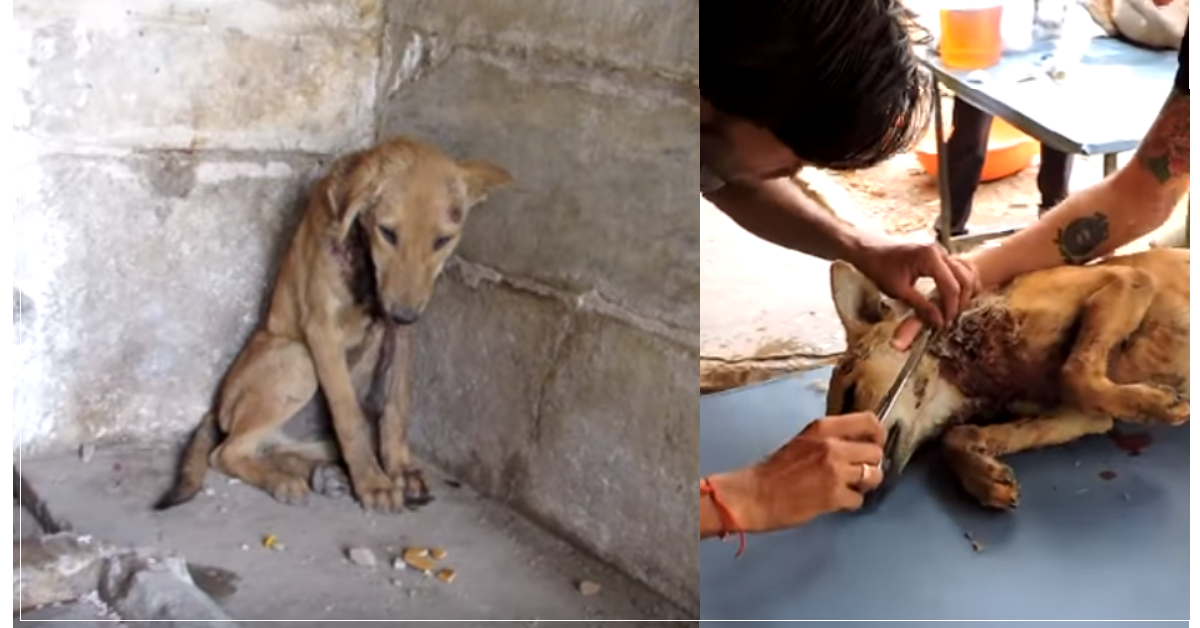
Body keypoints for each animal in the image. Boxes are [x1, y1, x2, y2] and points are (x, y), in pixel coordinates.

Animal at [153, 135, 511, 513]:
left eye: (443, 240)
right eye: (388, 232)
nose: (402, 315)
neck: (364, 258)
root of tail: (218, 405)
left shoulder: (403, 333)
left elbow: (398, 406)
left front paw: (399, 469)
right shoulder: (322, 329)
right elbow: (348, 415)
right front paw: (373, 482)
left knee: (269, 448)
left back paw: (322, 474)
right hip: (298, 360)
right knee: (226, 453)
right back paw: (285, 480)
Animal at [825, 248, 1190, 509]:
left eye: (851, 393)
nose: (854, 497)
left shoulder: (1130, 280)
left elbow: (1074, 373)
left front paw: (1159, 403)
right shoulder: (1083, 417)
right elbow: (958, 436)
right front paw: (983, 477)